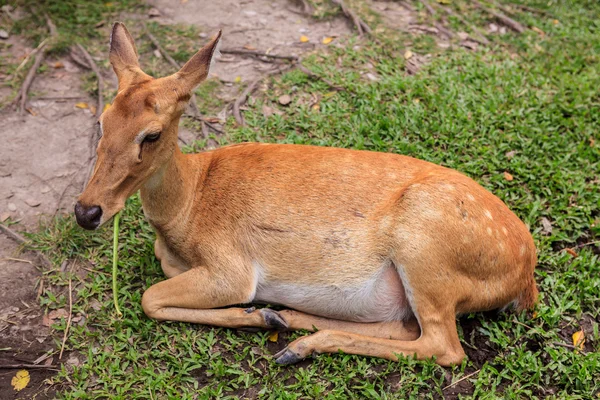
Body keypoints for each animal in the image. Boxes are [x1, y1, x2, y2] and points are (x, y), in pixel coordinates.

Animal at [75, 21, 540, 366]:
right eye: (101, 120)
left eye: (151, 134)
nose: (87, 211)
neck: (185, 212)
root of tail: (525, 276)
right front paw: (263, 316)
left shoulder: (231, 267)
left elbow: (148, 297)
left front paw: (255, 315)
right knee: (404, 326)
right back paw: (288, 322)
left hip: (426, 247)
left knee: (445, 347)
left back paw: (294, 344)